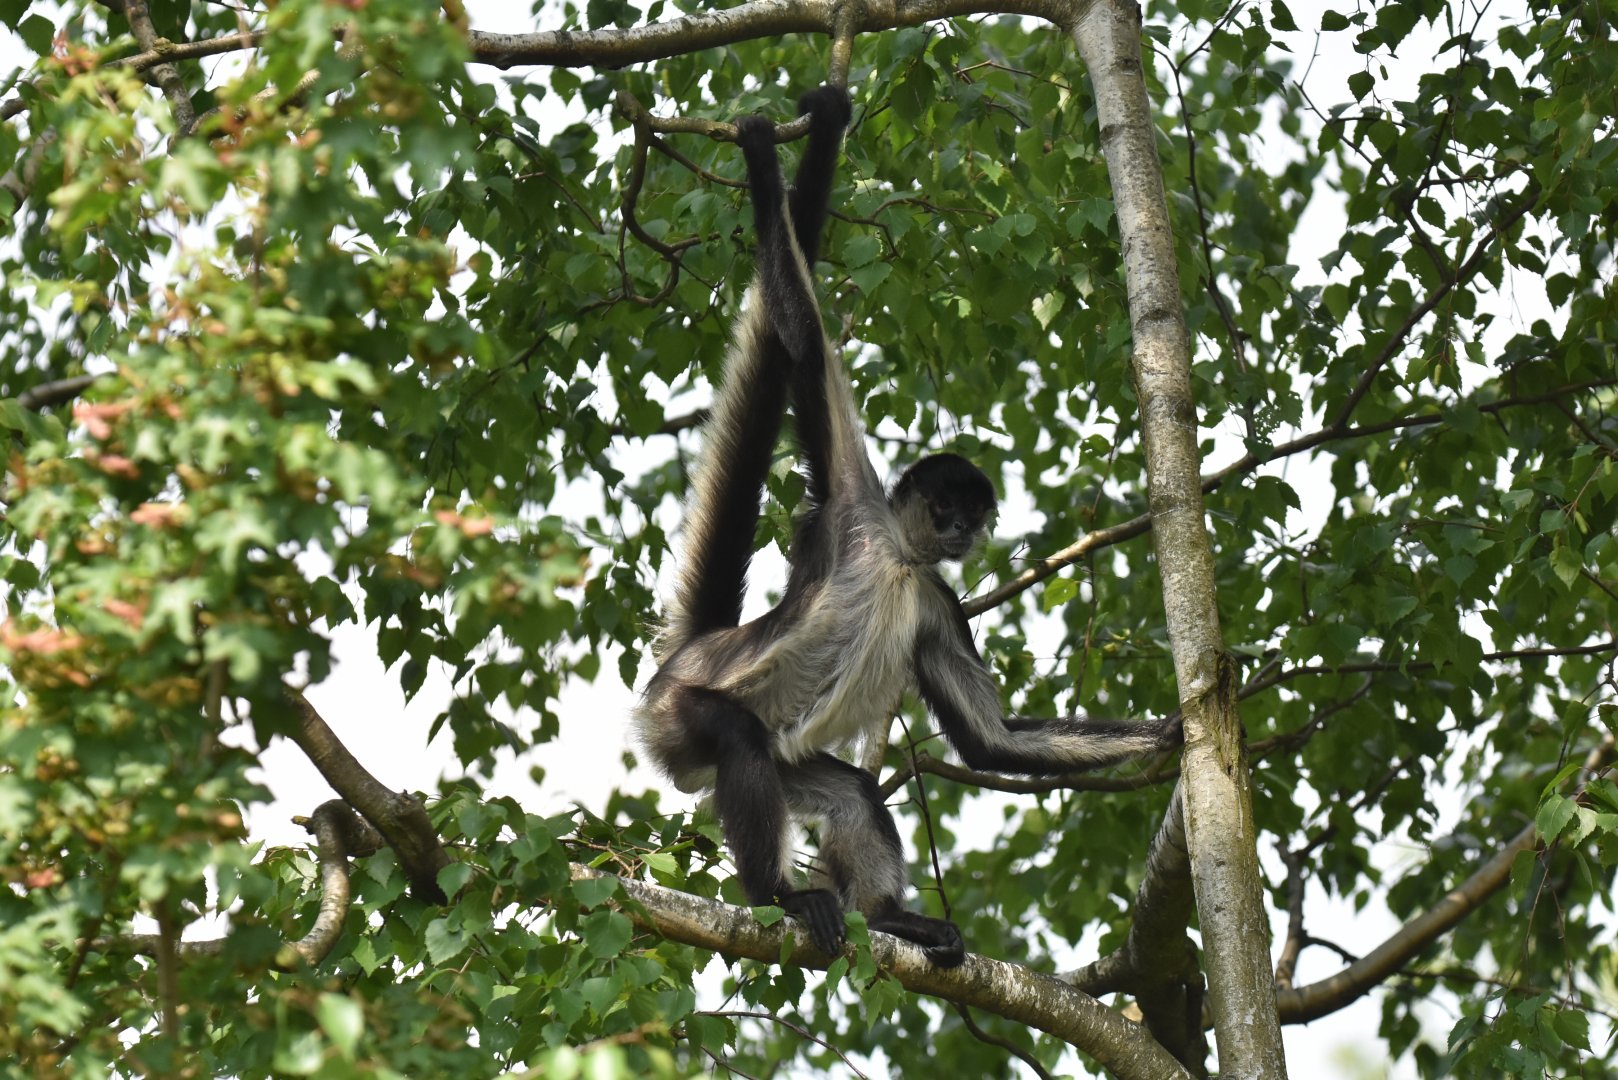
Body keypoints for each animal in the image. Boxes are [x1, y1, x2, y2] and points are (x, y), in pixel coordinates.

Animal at [633, 86, 1181, 968]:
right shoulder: (849, 502)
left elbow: (992, 742)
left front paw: (1172, 733)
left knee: (852, 788)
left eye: (973, 514)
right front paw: (770, 153)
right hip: (682, 715)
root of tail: (693, 652)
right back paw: (778, 896)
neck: (896, 555)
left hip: (768, 756)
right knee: (742, 738)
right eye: (943, 506)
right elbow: (803, 338)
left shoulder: (935, 600)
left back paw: (889, 917)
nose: (959, 532)